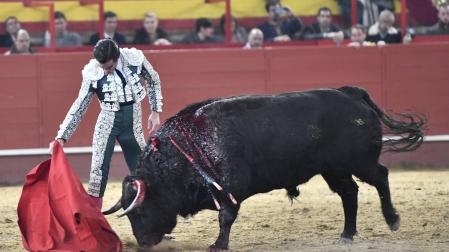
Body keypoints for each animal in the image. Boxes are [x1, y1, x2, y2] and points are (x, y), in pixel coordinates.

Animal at [104, 86, 424, 250]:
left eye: (140, 211)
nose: (142, 242)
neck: (186, 148)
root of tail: (352, 93)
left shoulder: (230, 189)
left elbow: (225, 217)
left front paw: (218, 245)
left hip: (359, 161)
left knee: (380, 177)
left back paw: (392, 219)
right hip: (334, 169)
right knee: (350, 193)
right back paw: (347, 234)